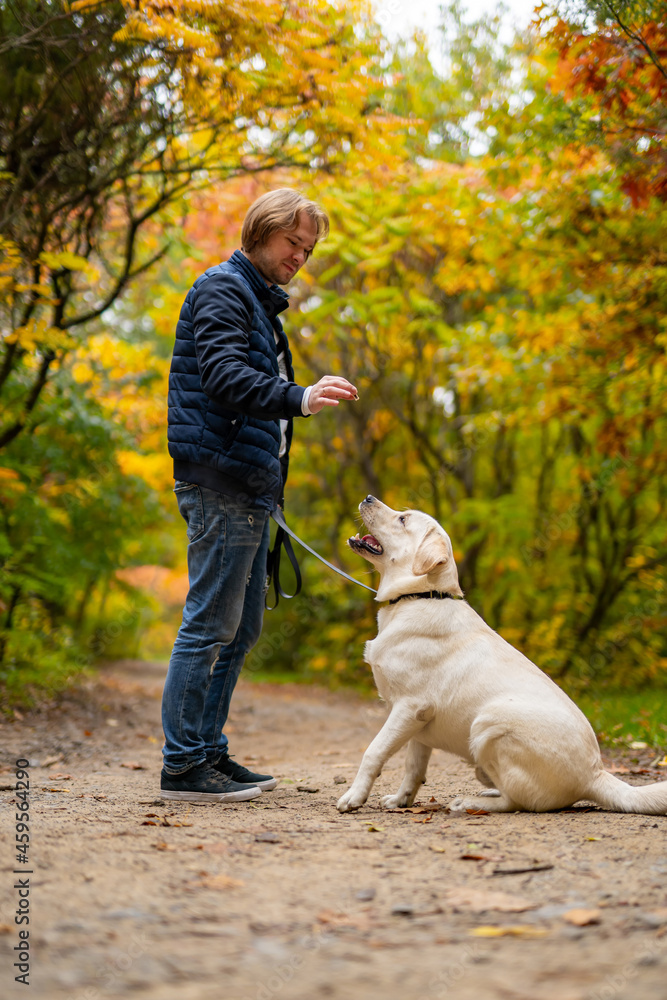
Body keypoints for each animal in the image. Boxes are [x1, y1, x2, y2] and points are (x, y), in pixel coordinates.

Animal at [340, 496, 667, 816]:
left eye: (403, 519)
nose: (368, 497)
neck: (419, 596)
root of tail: (595, 775)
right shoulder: (419, 724)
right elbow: (413, 767)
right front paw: (400, 800)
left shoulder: (409, 707)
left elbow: (374, 751)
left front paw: (354, 797)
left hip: (489, 722)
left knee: (519, 801)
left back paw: (470, 803)